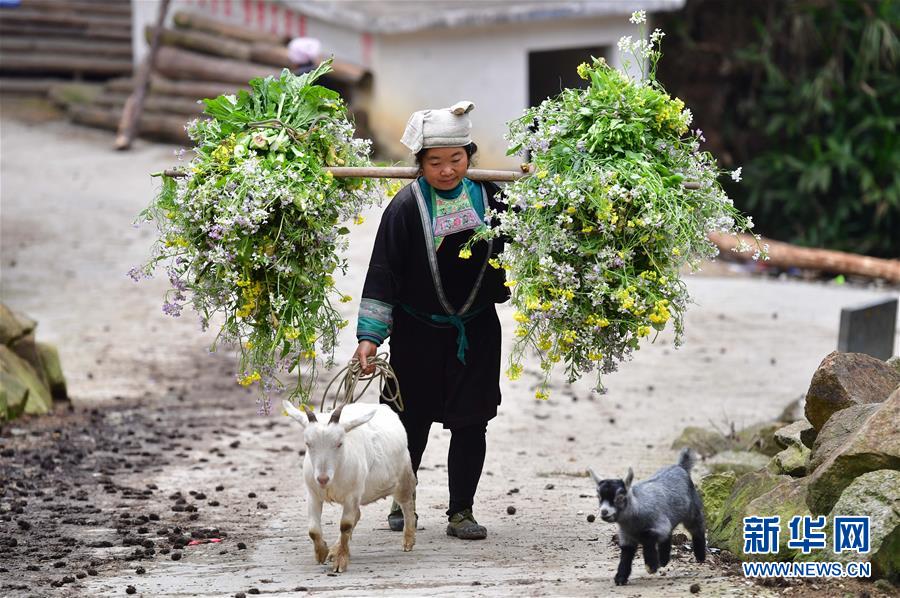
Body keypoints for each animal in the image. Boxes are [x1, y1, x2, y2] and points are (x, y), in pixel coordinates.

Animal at [282, 399, 416, 573]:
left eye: (339, 443)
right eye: (308, 444)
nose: (322, 478)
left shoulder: (352, 495)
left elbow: (345, 526)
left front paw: (340, 561)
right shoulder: (313, 494)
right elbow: (313, 530)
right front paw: (322, 553)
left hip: (402, 476)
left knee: (407, 503)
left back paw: (408, 540)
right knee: (357, 514)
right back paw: (334, 549)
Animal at [589, 448, 706, 586]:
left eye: (620, 498)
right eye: (599, 497)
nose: (604, 512)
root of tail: (680, 466)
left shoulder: (659, 524)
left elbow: (647, 535)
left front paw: (651, 565)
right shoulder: (626, 535)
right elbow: (626, 553)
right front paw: (621, 577)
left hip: (693, 511)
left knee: (697, 529)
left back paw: (700, 556)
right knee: (668, 534)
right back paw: (664, 559)